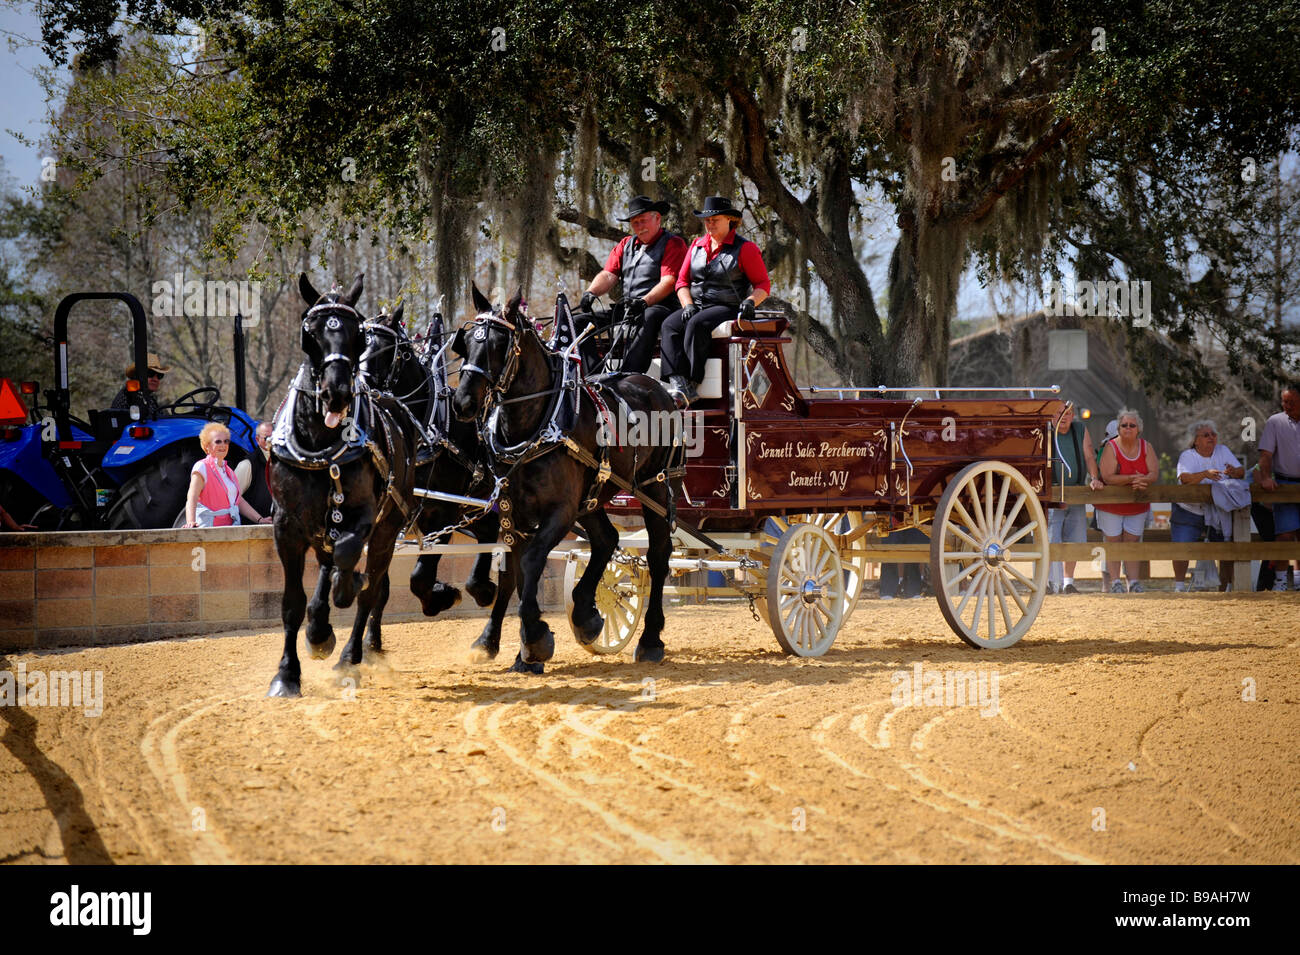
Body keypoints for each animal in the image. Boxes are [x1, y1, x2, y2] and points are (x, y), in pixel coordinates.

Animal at [269, 272, 416, 696]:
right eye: (311, 332)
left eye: (356, 334)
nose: (336, 393)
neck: (320, 441)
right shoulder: (286, 525)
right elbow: (292, 602)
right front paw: (287, 673)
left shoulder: (365, 516)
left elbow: (351, 561)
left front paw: (345, 589)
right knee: (327, 566)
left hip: (388, 527)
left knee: (370, 588)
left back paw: (350, 654)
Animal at [361, 307, 517, 665]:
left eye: (388, 350)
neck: (424, 431)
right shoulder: (393, 516)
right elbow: (380, 582)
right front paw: (372, 644)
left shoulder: (442, 512)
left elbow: (420, 577)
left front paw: (441, 597)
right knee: (489, 537)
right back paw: (482, 589)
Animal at [452, 287, 676, 670]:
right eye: (466, 342)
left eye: (498, 344)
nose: (463, 402)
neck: (537, 424)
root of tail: (655, 385)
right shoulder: (513, 512)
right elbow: (513, 573)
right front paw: (499, 643)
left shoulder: (560, 511)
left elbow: (531, 561)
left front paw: (535, 639)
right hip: (594, 494)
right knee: (606, 539)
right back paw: (586, 614)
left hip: (654, 487)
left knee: (659, 555)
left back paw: (649, 640)